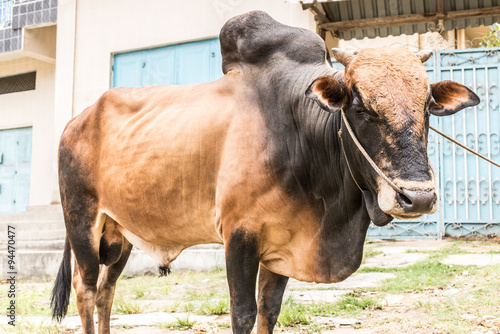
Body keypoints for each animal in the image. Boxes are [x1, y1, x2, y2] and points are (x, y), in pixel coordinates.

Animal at [52, 10, 478, 334]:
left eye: (427, 106)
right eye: (359, 106)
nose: (418, 197)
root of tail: (76, 121)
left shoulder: (282, 245)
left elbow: (268, 311)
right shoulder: (239, 237)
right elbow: (242, 314)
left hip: (119, 235)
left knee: (106, 292)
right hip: (82, 224)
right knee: (85, 289)